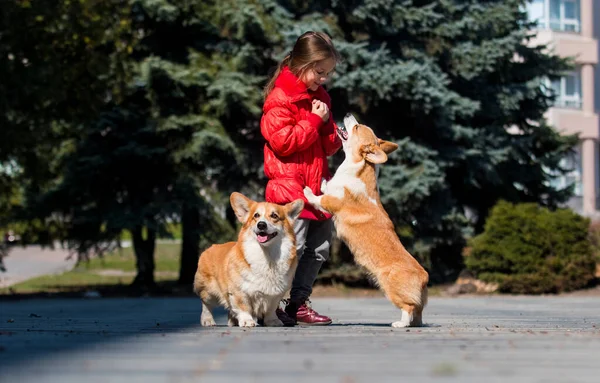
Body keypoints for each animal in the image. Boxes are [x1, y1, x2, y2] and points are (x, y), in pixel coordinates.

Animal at [304, 112, 426, 328]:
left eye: (357, 127)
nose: (348, 114)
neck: (358, 167)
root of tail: (424, 277)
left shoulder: (332, 202)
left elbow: (319, 198)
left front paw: (307, 190)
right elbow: (327, 186)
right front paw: (324, 180)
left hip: (391, 289)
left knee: (409, 307)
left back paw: (400, 324)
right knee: (417, 313)